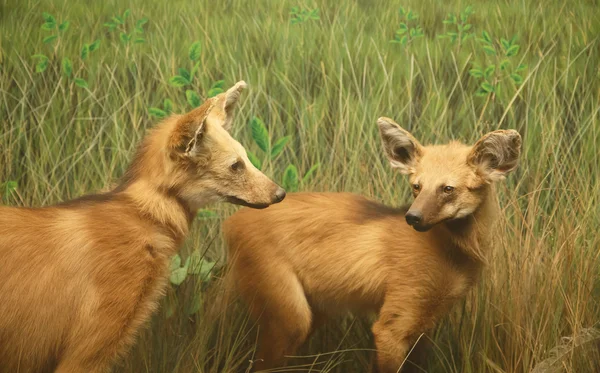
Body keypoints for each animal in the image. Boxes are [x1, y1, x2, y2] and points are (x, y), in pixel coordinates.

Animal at [224, 117, 520, 372]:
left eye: (447, 189)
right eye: (417, 186)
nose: (412, 217)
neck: (454, 256)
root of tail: (233, 220)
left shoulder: (423, 325)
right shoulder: (392, 325)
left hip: (314, 311)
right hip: (291, 319)